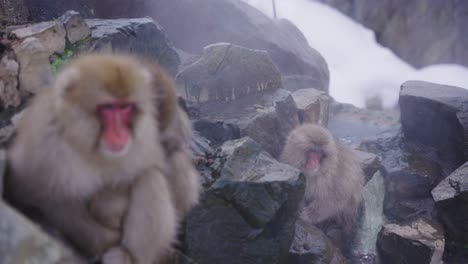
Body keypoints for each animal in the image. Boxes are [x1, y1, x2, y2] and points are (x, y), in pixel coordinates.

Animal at [7, 54, 200, 264]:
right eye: (108, 108)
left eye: (125, 108)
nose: (121, 134)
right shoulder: (43, 151)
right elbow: (54, 201)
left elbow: (140, 170)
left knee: (152, 177)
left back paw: (128, 254)